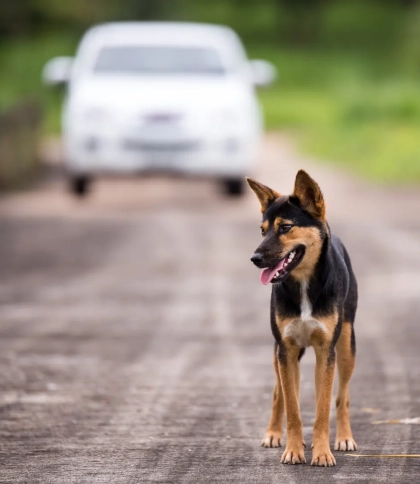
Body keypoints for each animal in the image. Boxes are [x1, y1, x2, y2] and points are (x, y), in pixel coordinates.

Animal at [246, 169, 358, 466]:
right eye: (262, 230)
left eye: (285, 227)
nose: (255, 258)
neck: (304, 283)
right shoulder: (286, 349)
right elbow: (292, 407)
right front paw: (293, 450)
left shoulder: (327, 351)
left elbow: (323, 408)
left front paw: (322, 453)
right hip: (281, 355)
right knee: (279, 394)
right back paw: (274, 433)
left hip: (346, 348)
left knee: (341, 397)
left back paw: (344, 437)